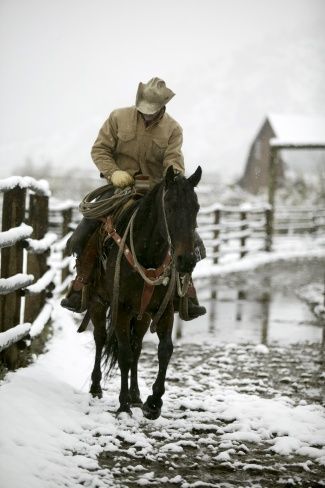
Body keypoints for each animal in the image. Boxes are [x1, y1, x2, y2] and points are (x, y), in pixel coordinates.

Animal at [87, 165, 201, 420]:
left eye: (196, 207)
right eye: (169, 206)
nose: (187, 260)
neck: (147, 255)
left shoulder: (163, 309)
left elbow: (164, 350)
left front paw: (153, 402)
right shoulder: (120, 308)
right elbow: (124, 354)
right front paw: (123, 406)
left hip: (142, 316)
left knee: (137, 346)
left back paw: (136, 395)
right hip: (99, 303)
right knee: (101, 339)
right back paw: (96, 387)